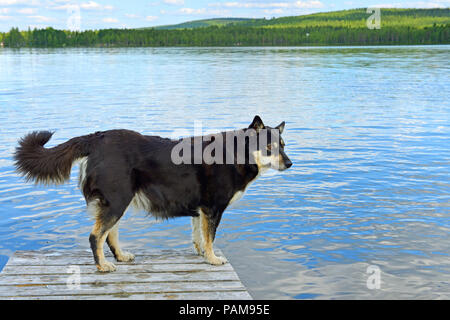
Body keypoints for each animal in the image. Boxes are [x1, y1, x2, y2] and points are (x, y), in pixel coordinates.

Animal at [14, 116, 292, 272]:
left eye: (283, 145)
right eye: (269, 147)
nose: (290, 164)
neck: (235, 154)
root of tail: (96, 138)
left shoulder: (200, 210)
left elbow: (199, 237)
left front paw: (203, 255)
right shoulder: (213, 209)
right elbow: (210, 238)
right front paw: (213, 259)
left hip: (117, 202)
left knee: (109, 234)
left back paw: (121, 256)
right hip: (117, 201)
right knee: (96, 236)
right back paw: (103, 266)